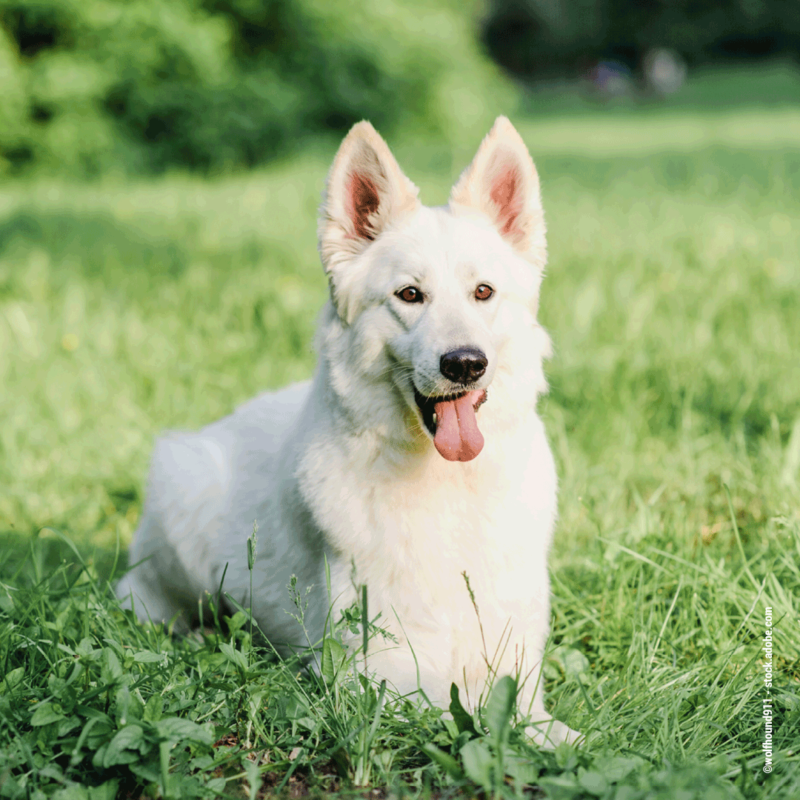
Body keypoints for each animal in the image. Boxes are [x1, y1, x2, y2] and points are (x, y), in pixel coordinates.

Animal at [119, 115, 580, 748]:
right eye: (410, 294)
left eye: (482, 292)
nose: (465, 363)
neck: (446, 489)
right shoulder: (376, 674)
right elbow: (467, 712)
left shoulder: (514, 660)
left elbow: (529, 716)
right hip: (184, 495)